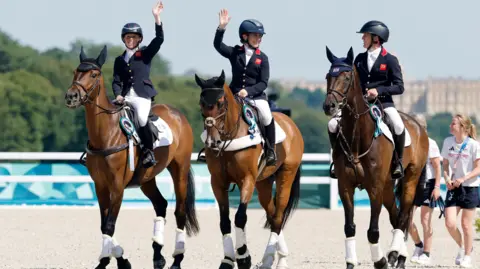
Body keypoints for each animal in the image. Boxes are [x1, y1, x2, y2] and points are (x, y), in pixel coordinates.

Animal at [63, 46, 199, 268]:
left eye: (94, 74)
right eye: (76, 72)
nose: (71, 96)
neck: (106, 134)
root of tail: (177, 113)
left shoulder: (117, 187)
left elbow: (109, 225)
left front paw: (108, 261)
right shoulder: (100, 186)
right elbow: (104, 225)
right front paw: (117, 259)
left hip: (179, 169)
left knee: (179, 211)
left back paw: (177, 259)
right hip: (147, 179)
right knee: (161, 205)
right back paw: (158, 256)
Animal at [192, 70, 302, 268]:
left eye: (220, 103)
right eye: (201, 104)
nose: (212, 142)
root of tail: (291, 124)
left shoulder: (247, 180)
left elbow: (240, 217)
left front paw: (243, 257)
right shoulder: (217, 182)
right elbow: (224, 221)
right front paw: (228, 260)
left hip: (286, 176)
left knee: (278, 215)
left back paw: (276, 259)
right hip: (264, 183)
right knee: (272, 213)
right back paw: (274, 258)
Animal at [322, 46, 428, 268]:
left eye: (346, 77)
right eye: (328, 76)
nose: (329, 106)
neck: (357, 137)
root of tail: (419, 126)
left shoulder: (375, 187)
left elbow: (372, 231)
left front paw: (380, 261)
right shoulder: (345, 186)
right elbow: (349, 227)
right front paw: (351, 262)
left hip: (409, 180)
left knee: (404, 217)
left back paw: (397, 256)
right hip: (388, 186)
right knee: (396, 217)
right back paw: (398, 256)